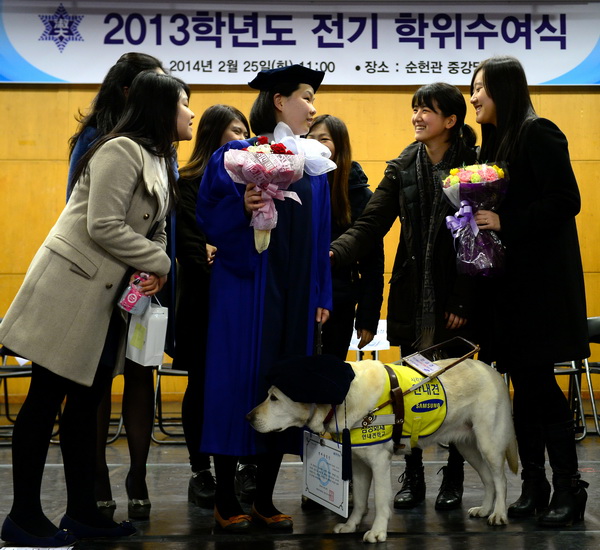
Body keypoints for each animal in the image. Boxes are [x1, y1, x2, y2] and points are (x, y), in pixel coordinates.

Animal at [246, 360, 516, 544]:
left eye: (274, 398)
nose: (248, 417)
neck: (342, 401)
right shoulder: (358, 463)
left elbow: (380, 500)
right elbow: (359, 501)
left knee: (501, 479)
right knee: (488, 479)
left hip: (489, 441)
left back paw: (499, 514)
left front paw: (377, 532)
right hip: (468, 446)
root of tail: (490, 369)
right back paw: (484, 509)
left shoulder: (379, 462)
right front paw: (351, 526)